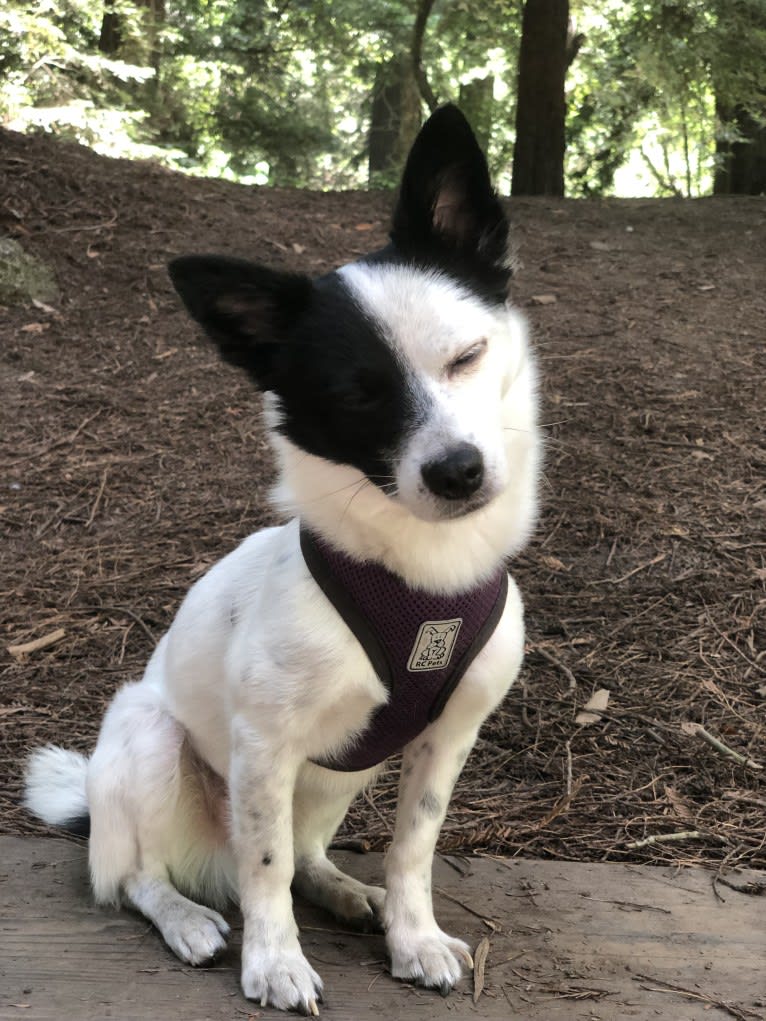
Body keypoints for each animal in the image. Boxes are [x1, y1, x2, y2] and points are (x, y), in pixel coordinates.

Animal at [24, 103, 539, 1012]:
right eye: (357, 396)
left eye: (467, 356)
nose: (457, 472)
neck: (423, 576)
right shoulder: (263, 745)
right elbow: (262, 868)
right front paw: (273, 960)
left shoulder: (448, 737)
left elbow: (412, 848)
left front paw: (411, 933)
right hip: (151, 737)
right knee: (141, 876)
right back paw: (187, 917)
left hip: (337, 779)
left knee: (302, 856)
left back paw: (344, 889)